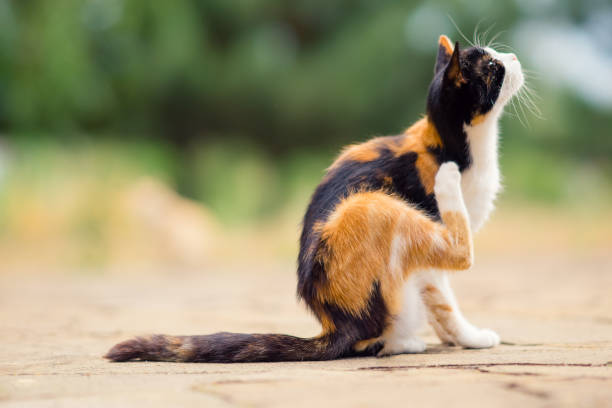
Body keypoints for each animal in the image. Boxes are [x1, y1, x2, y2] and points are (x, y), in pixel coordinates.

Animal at [106, 33, 524, 362]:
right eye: (491, 65)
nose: (515, 57)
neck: (453, 144)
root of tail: (333, 325)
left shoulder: (426, 273)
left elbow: (438, 302)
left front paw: (452, 339)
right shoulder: (427, 243)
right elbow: (447, 301)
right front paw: (472, 338)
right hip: (368, 204)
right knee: (457, 256)